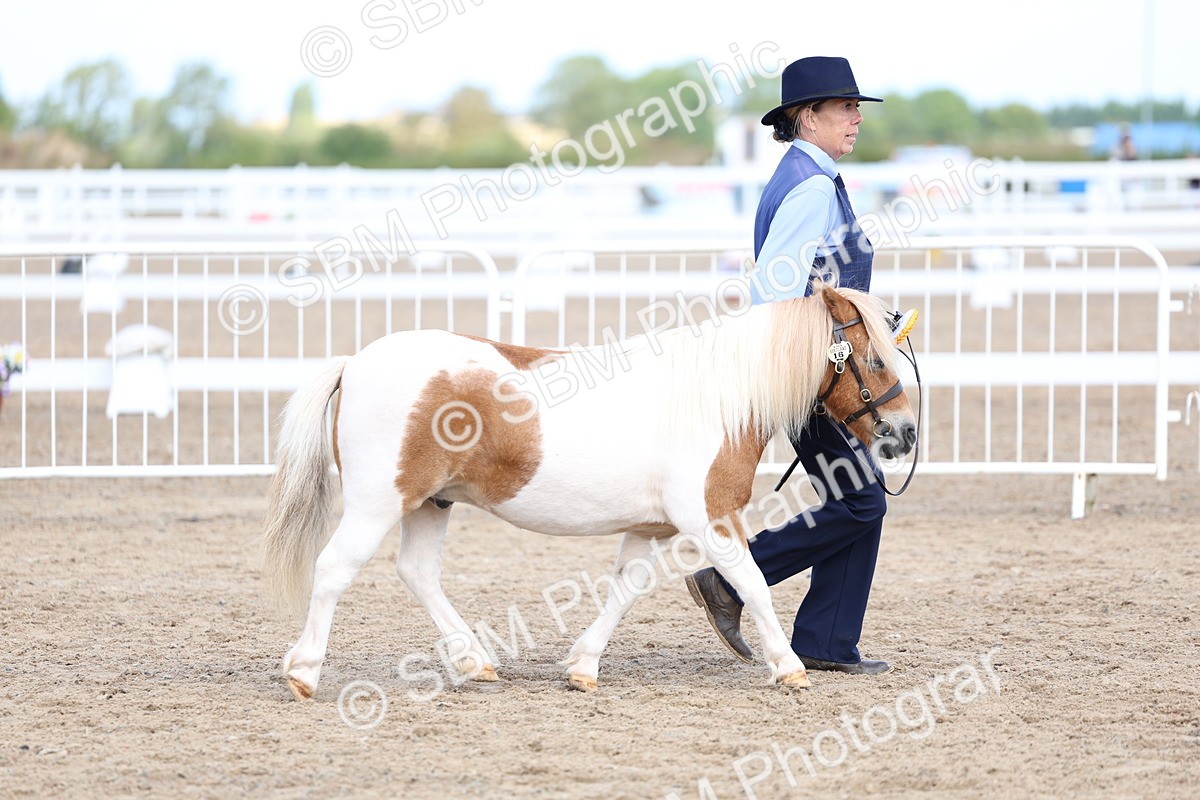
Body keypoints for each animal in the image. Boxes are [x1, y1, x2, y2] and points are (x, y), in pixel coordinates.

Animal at [261, 284, 917, 699]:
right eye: (874, 361)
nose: (905, 433)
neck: (715, 395)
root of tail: (354, 363)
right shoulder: (710, 518)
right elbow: (753, 583)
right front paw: (789, 668)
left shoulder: (649, 528)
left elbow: (625, 590)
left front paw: (582, 666)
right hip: (378, 503)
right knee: (334, 569)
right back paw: (305, 673)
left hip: (430, 503)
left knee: (417, 572)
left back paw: (475, 661)